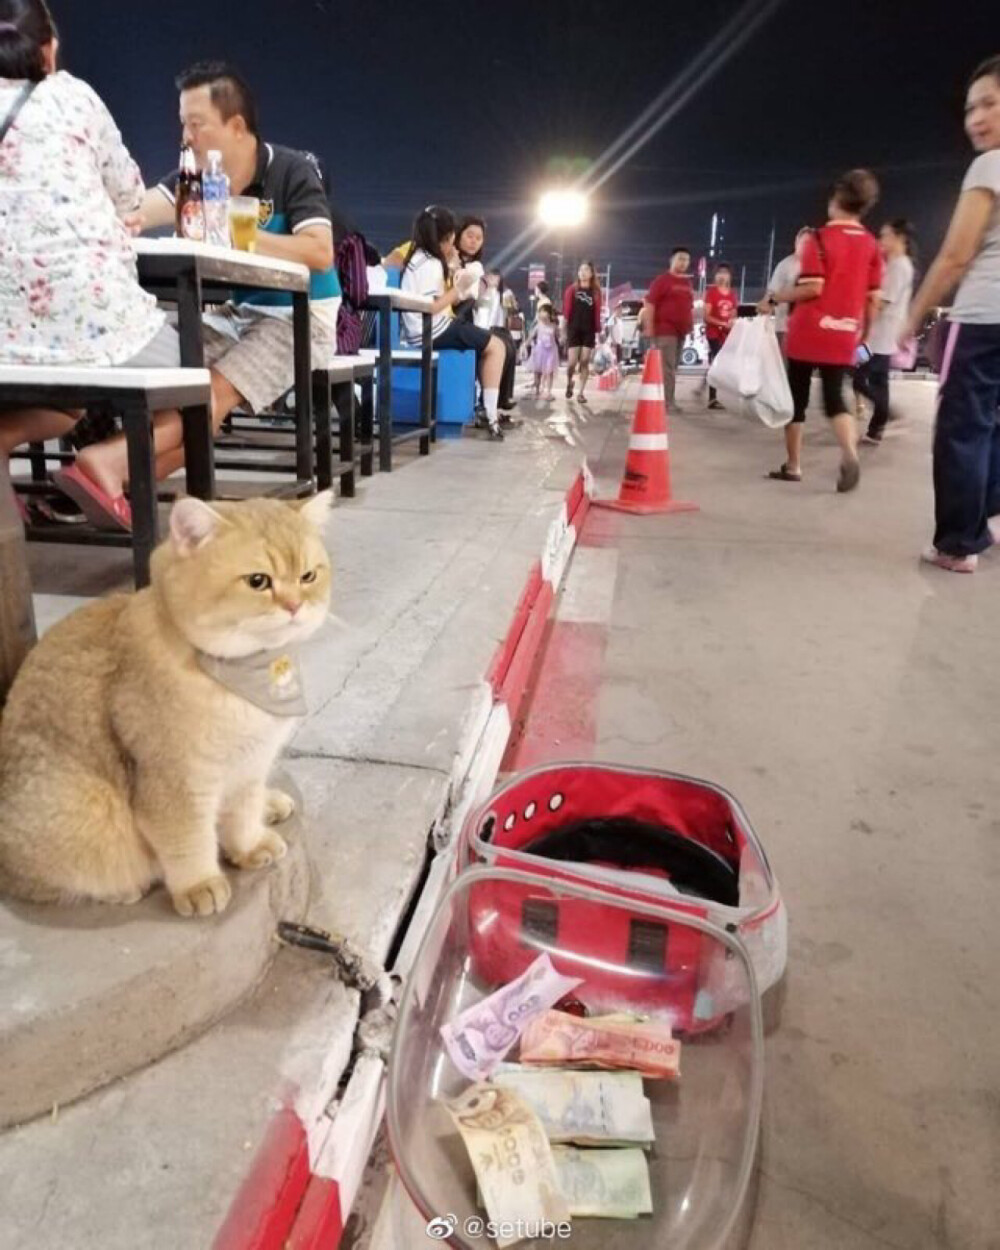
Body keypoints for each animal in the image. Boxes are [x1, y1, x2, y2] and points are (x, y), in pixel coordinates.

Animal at [0, 492, 332, 915]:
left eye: (308, 577)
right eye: (258, 581)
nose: (294, 606)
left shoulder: (250, 765)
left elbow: (241, 816)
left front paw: (248, 845)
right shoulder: (177, 783)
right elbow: (188, 840)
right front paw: (199, 885)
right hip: (86, 806)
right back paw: (122, 890)